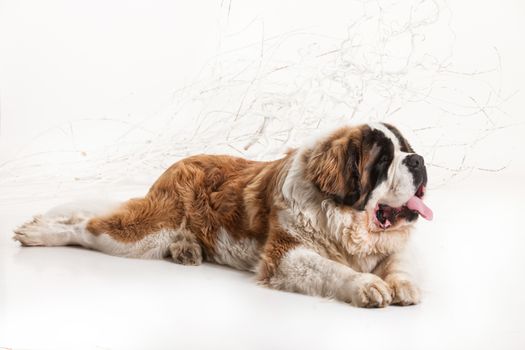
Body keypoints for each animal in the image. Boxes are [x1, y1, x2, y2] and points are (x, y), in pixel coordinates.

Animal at [13, 122, 430, 306]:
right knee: (87, 227)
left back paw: (186, 249)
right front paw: (365, 285)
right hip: (144, 233)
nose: (419, 159)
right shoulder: (285, 256)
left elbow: (399, 262)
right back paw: (40, 232)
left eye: (406, 147)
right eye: (383, 160)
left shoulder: (389, 247)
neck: (340, 218)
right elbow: (331, 268)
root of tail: (177, 164)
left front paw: (402, 284)